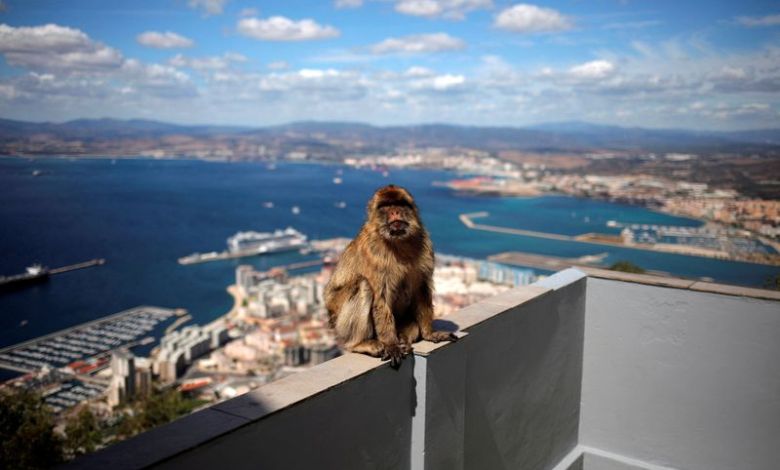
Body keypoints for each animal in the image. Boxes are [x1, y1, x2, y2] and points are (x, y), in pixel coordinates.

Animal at [324, 184, 457, 368]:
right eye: (386, 206)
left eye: (400, 204)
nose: (395, 211)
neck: (399, 242)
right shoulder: (373, 253)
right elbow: (381, 298)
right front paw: (391, 345)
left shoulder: (425, 245)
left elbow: (421, 289)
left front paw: (429, 333)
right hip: (339, 321)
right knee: (363, 284)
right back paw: (360, 344)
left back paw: (403, 338)